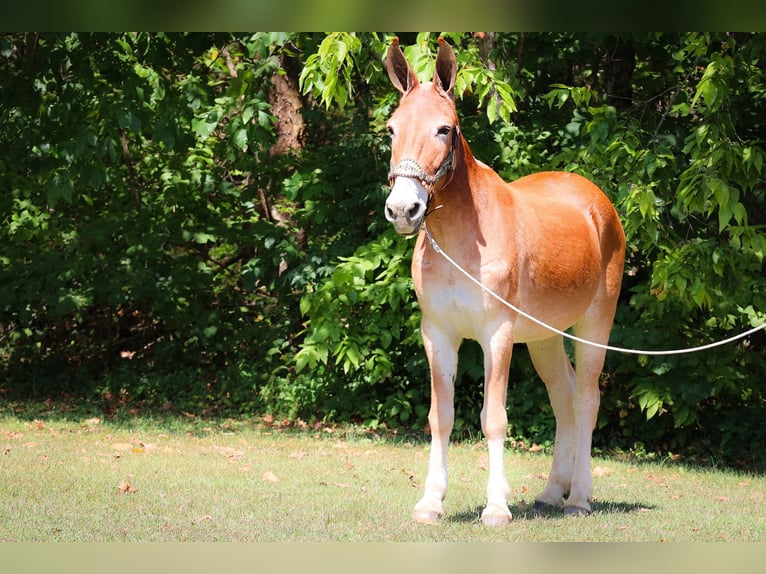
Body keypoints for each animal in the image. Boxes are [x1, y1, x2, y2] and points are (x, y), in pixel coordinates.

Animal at [383, 37, 626, 526]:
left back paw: (579, 497)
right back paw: (552, 492)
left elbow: (493, 418)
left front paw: (496, 505)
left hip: (595, 326)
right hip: (545, 338)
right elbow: (441, 416)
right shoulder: (438, 335)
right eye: (391, 129)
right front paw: (430, 502)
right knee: (563, 399)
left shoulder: (497, 335)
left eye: (444, 130)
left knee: (586, 400)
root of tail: (598, 203)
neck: (461, 243)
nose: (403, 210)